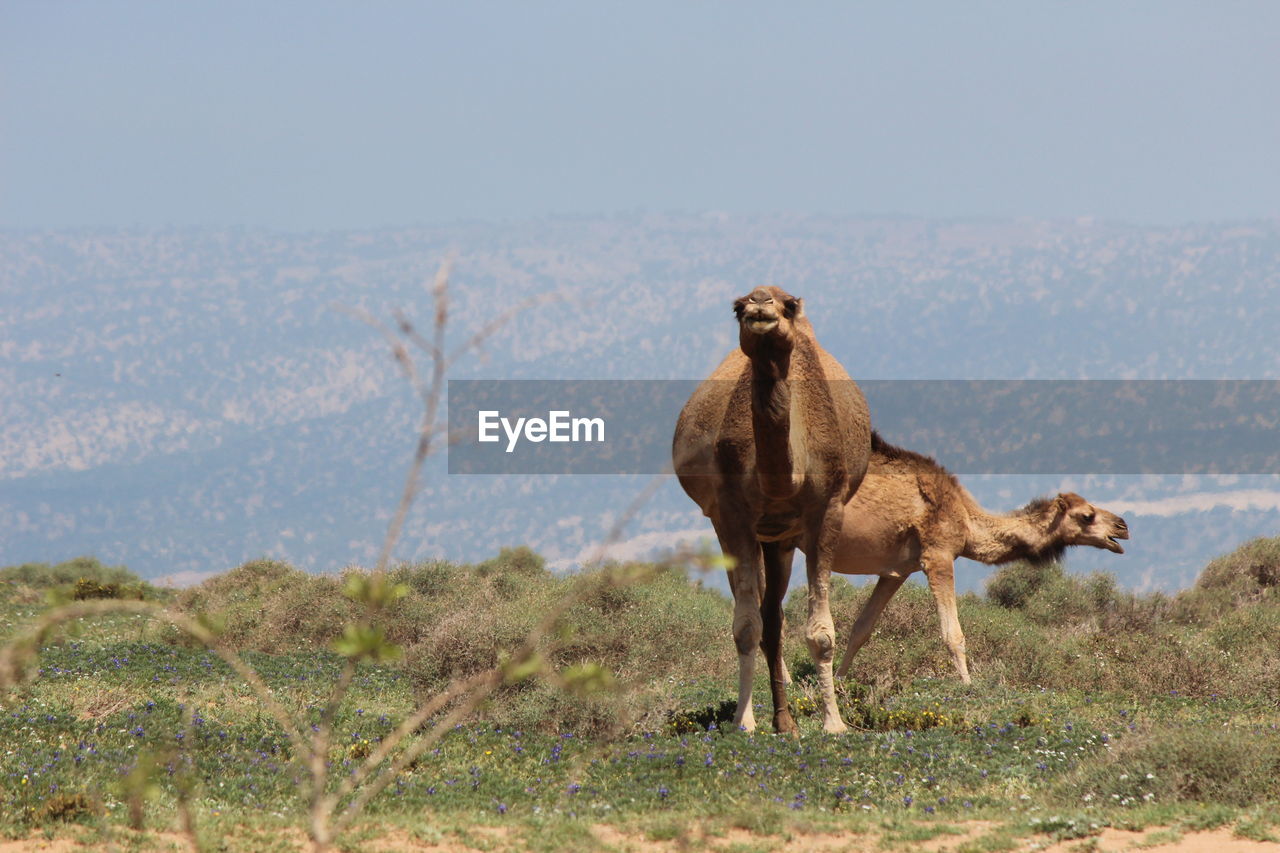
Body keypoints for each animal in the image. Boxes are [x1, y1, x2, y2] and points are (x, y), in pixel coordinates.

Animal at [670, 285, 870, 732]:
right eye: (737, 307)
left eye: (789, 306)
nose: (760, 306)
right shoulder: (732, 513)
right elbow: (746, 626)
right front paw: (743, 722)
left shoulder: (826, 510)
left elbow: (821, 632)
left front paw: (833, 723)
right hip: (743, 531)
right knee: (764, 618)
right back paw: (778, 720)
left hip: (782, 539)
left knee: (775, 618)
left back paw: (786, 722)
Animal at [824, 427, 1126, 681]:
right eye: (1087, 515)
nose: (1122, 527)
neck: (967, 520)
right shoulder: (939, 555)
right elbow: (953, 635)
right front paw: (969, 689)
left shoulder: (895, 571)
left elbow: (861, 628)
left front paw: (839, 684)